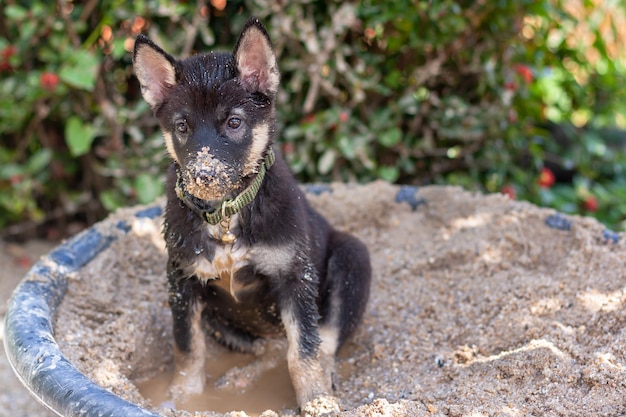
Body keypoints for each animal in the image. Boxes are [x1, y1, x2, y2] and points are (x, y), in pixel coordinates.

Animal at [130, 17, 368, 412]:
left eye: (234, 123)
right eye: (182, 127)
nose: (203, 176)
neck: (227, 215)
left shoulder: (294, 276)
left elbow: (304, 351)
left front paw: (317, 402)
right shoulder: (182, 279)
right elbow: (187, 348)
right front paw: (183, 398)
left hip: (353, 258)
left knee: (326, 340)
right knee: (264, 351)